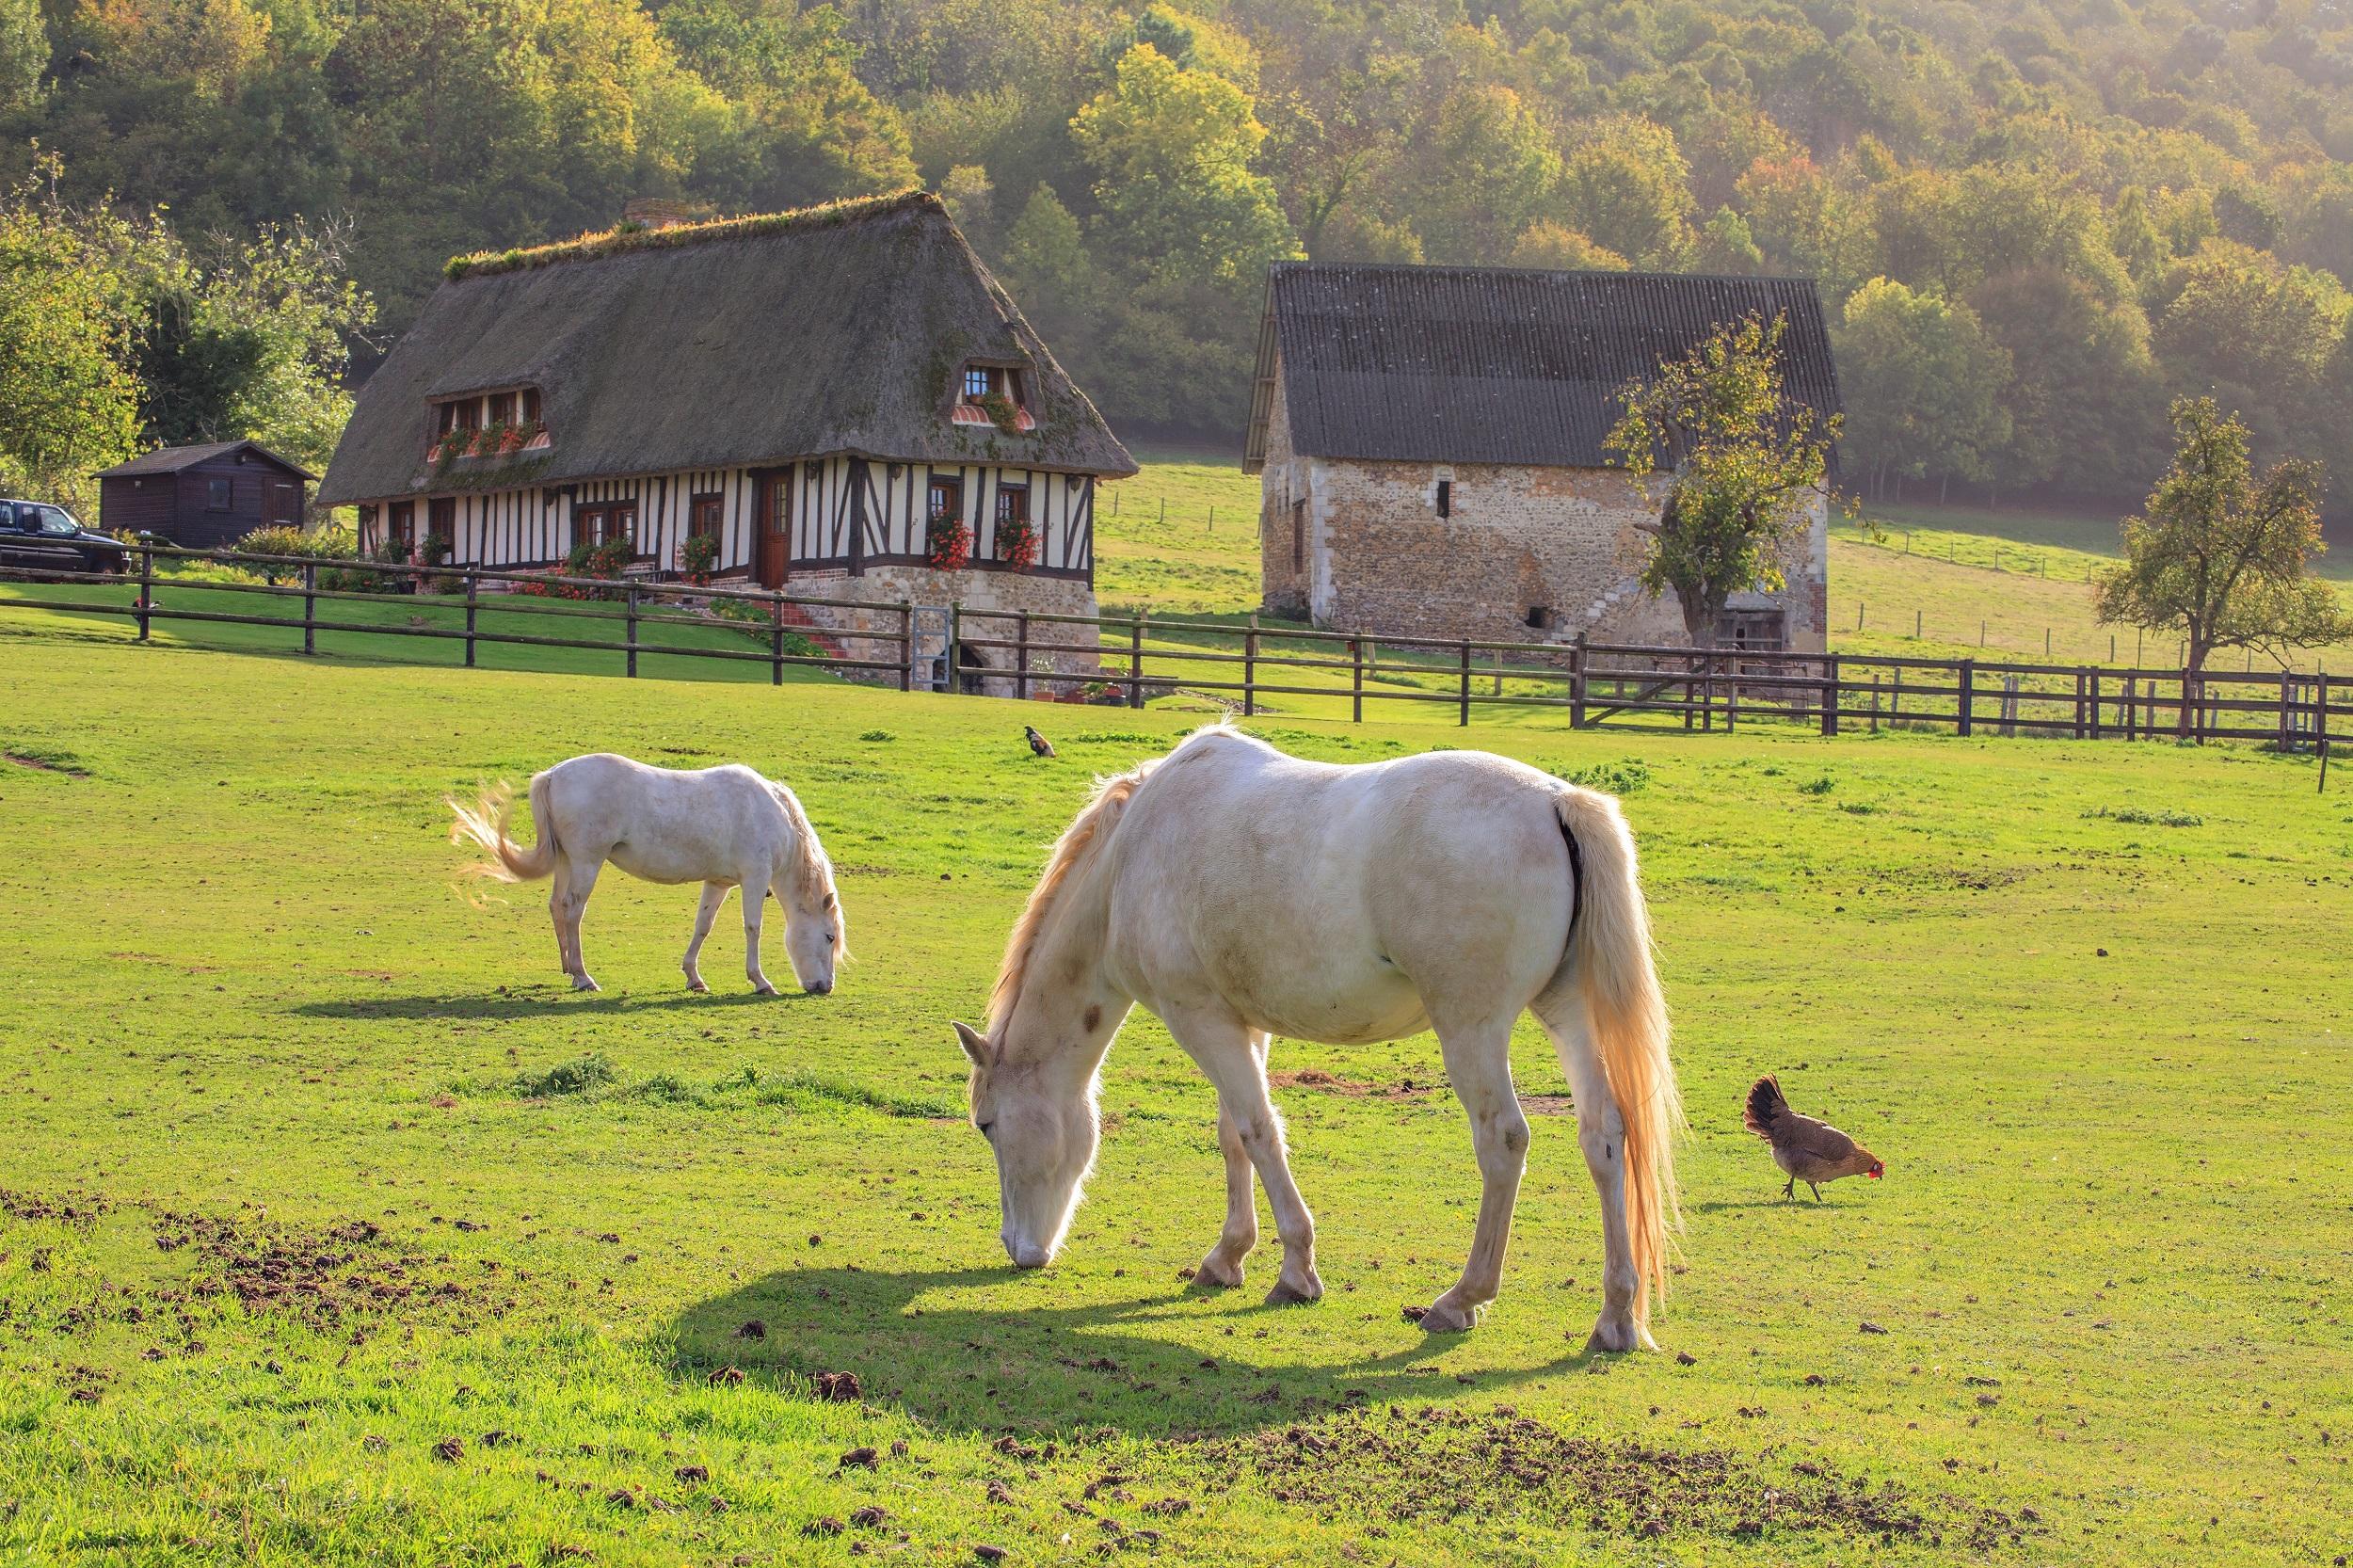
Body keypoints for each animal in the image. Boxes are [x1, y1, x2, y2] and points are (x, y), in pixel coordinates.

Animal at [449, 753, 847, 988]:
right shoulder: (754, 879)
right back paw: (583, 976)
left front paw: (694, 977)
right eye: (829, 937)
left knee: (556, 906)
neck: (772, 814)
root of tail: (553, 775)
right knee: (573, 910)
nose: (825, 988)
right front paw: (760, 981)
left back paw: (567, 968)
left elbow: (703, 926)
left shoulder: (718, 882)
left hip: (566, 861)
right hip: (586, 863)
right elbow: (753, 928)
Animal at [946, 720, 1685, 1346]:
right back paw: (1617, 1317)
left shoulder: (1199, 1018)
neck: (1132, 856)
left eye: (986, 1124)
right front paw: (1226, 1258)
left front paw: (1295, 1271)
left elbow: (1258, 1132)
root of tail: (1556, 802)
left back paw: (1461, 1299)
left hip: (1471, 1029)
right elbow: (1233, 1134)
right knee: (1604, 1136)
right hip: (1568, 1014)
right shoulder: (1240, 1022)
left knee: (1503, 1142)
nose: (1020, 1251)